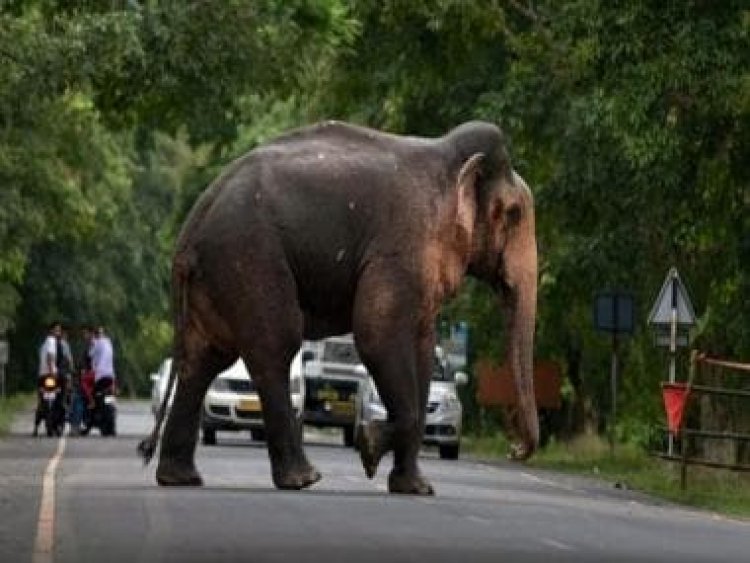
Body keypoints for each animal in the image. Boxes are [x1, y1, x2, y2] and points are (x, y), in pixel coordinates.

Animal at [140, 118, 540, 494]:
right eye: (514, 213)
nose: (514, 449)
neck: (446, 158)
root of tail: (191, 227)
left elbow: (424, 354)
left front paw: (416, 488)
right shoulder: (400, 249)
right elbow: (376, 336)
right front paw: (368, 447)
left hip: (216, 278)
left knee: (203, 360)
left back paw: (181, 478)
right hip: (249, 259)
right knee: (275, 346)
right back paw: (303, 478)